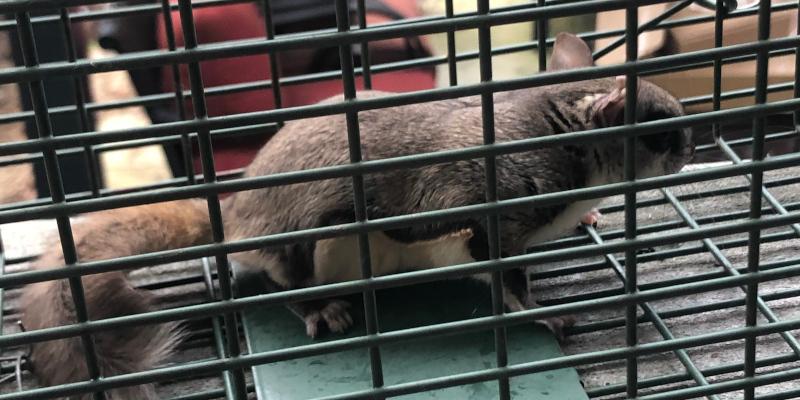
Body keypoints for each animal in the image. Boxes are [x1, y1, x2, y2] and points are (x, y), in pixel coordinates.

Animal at [17, 32, 692, 398]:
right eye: (657, 130)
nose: (691, 147)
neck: (559, 139)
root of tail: (233, 218)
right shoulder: (486, 208)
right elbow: (503, 279)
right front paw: (545, 318)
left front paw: (588, 221)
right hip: (315, 241)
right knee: (280, 282)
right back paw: (321, 309)